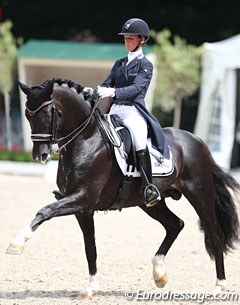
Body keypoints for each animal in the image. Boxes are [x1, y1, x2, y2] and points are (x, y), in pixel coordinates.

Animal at [6, 78, 239, 296]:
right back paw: (159, 274)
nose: (40, 155)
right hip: (150, 203)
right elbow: (90, 247)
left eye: (47, 114)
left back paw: (219, 286)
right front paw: (91, 288)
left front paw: (17, 243)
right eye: (28, 115)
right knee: (175, 224)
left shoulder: (83, 198)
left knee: (214, 235)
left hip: (200, 195)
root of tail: (197, 141)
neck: (86, 139)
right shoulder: (83, 209)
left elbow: (44, 211)